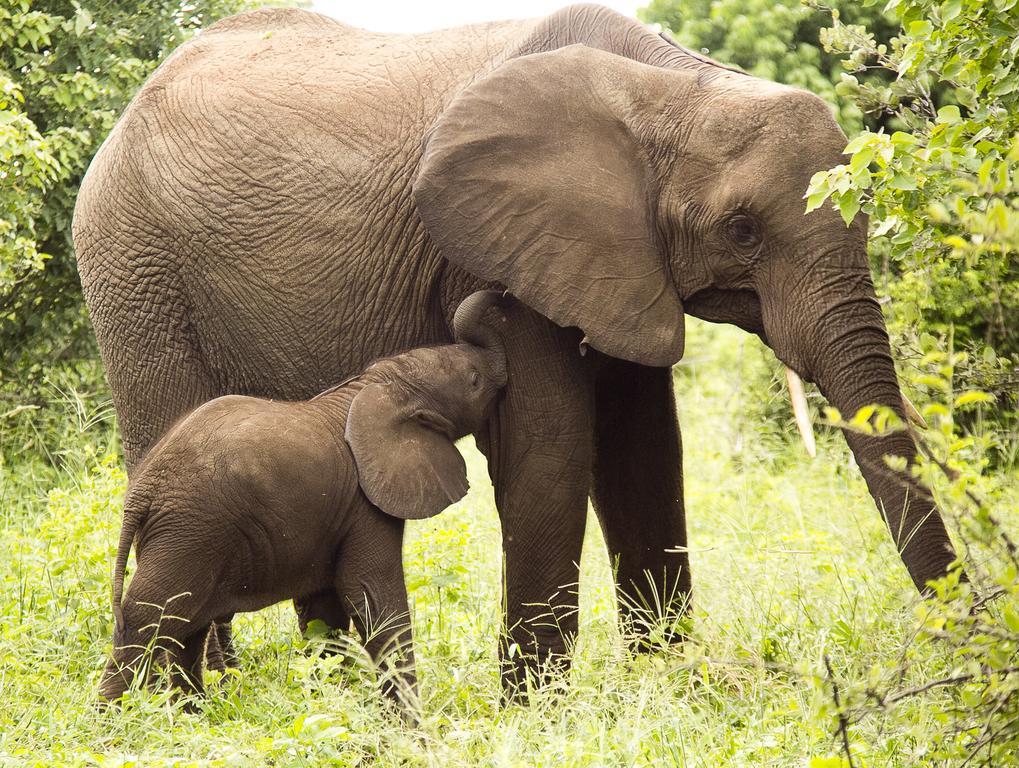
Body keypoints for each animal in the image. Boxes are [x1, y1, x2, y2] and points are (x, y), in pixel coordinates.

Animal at [101, 291, 507, 704]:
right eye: (474, 381)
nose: (499, 296)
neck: (378, 385)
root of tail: (141, 492)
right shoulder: (363, 503)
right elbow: (371, 595)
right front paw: (406, 721)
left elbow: (325, 609)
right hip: (190, 530)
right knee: (148, 618)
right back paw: (115, 717)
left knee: (185, 627)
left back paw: (192, 711)